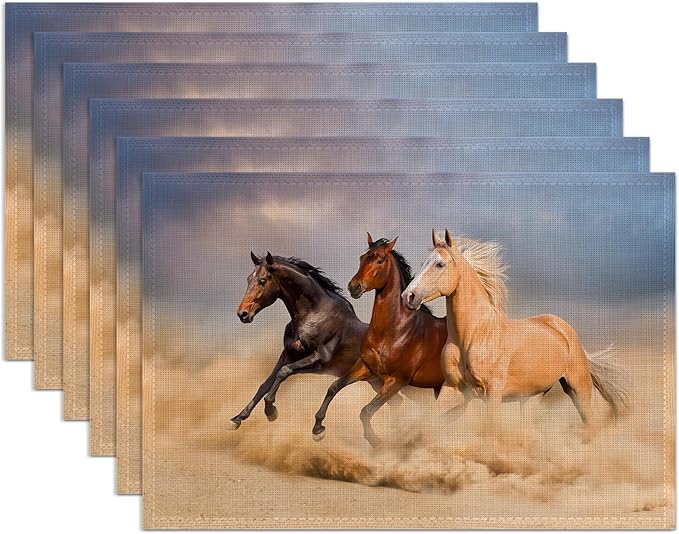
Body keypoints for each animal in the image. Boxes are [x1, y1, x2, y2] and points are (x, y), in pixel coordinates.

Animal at [231, 252, 397, 429]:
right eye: (249, 279)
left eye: (262, 280)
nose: (243, 314)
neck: (314, 315)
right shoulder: (288, 355)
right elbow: (265, 384)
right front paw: (238, 418)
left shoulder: (319, 360)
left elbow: (284, 372)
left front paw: (271, 411)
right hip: (378, 383)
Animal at [312, 234, 452, 447]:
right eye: (362, 258)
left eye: (379, 260)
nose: (354, 287)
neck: (395, 331)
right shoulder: (366, 368)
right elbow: (334, 387)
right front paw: (318, 429)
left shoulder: (397, 381)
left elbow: (366, 411)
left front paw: (377, 443)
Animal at [402, 229, 629, 428]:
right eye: (423, 263)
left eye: (439, 264)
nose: (408, 296)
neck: (474, 335)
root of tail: (564, 329)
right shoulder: (452, 389)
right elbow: (427, 422)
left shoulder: (492, 392)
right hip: (532, 397)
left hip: (578, 388)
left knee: (591, 423)